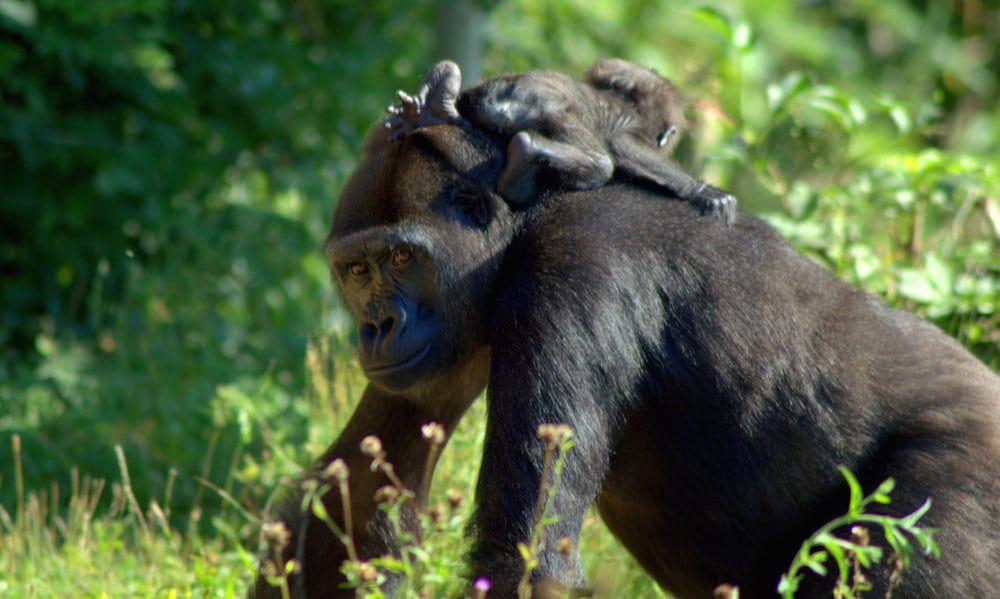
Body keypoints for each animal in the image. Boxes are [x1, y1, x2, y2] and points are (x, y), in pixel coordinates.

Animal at [386, 59, 740, 224]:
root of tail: (499, 99)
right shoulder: (632, 125)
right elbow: (622, 145)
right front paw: (704, 192)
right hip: (544, 107)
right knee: (601, 164)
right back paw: (523, 161)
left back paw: (434, 103)